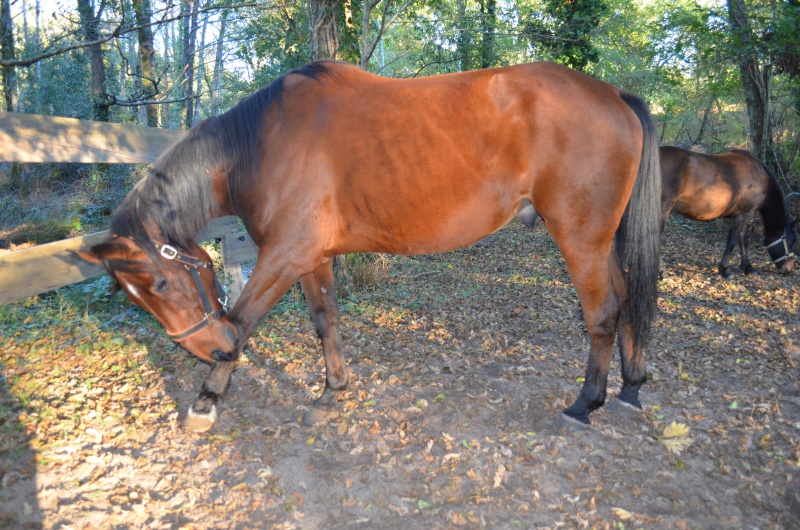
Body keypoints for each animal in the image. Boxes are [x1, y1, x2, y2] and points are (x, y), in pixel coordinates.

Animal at [73, 60, 664, 428]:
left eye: (161, 282)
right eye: (137, 297)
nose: (210, 349)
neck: (261, 145)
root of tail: (613, 94)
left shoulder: (283, 257)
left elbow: (245, 319)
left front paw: (207, 398)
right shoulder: (312, 258)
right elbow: (326, 322)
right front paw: (331, 394)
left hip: (580, 238)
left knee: (602, 312)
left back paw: (586, 402)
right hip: (600, 241)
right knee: (627, 296)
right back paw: (631, 387)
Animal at [660, 144, 796, 276]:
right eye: (792, 242)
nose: (788, 269)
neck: (760, 176)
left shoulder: (744, 215)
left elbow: (743, 240)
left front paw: (748, 267)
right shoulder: (743, 215)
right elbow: (732, 240)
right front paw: (724, 269)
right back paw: (662, 272)